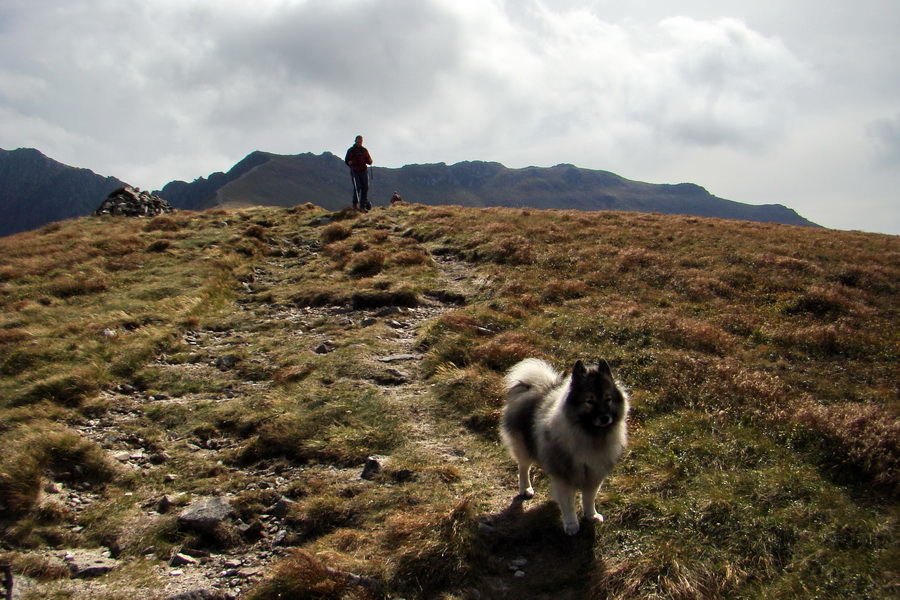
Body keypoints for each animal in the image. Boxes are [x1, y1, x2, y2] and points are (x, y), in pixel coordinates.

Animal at [500, 356, 632, 536]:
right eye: (589, 401)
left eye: (608, 399)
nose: (605, 418)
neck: (590, 436)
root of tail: (535, 387)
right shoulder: (565, 476)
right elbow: (568, 503)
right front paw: (571, 524)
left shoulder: (594, 473)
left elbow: (589, 498)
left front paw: (591, 515)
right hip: (524, 448)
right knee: (523, 468)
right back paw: (525, 488)